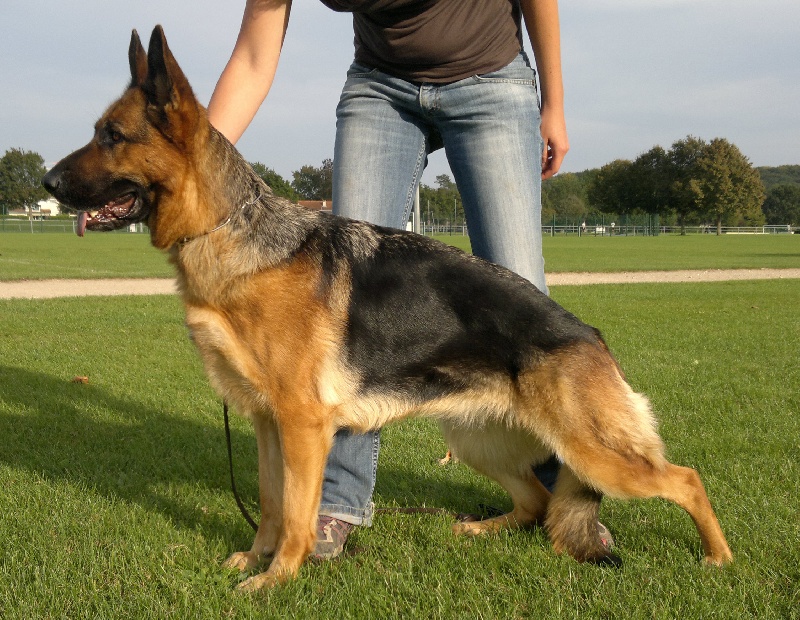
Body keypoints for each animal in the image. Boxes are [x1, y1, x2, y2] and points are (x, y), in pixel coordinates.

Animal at [43, 26, 732, 590]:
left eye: (111, 137)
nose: (46, 184)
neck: (230, 230)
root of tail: (588, 334)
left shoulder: (303, 426)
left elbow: (296, 513)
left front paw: (276, 579)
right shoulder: (267, 423)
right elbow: (269, 504)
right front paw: (257, 558)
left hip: (592, 453)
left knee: (685, 478)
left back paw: (718, 558)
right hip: (475, 437)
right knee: (538, 503)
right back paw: (481, 528)